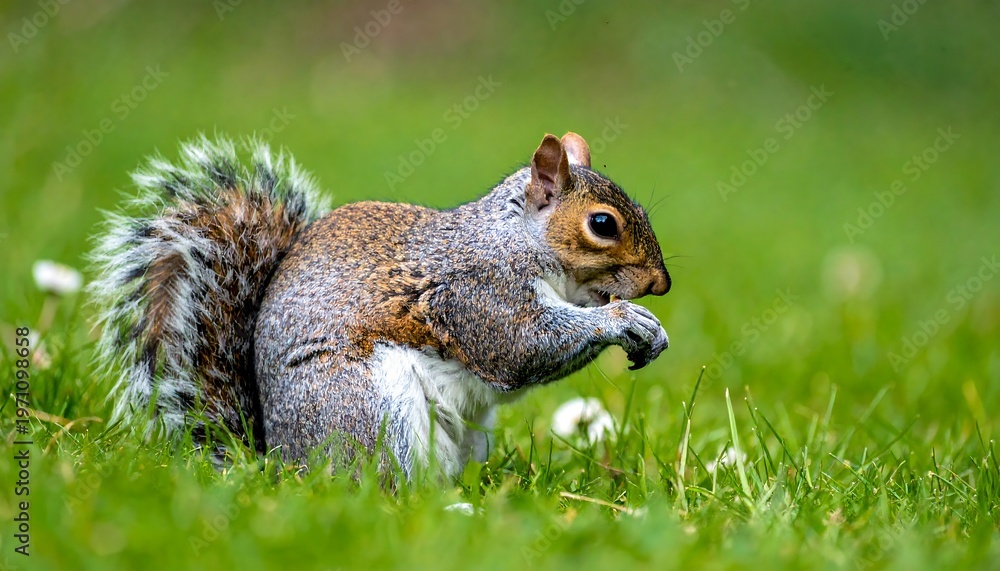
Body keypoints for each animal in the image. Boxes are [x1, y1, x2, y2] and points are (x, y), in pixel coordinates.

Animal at [90, 132, 670, 479]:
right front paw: (626, 320)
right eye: (602, 224)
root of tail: (281, 462)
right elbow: (521, 346)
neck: (515, 238)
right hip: (368, 410)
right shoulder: (477, 292)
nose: (661, 284)